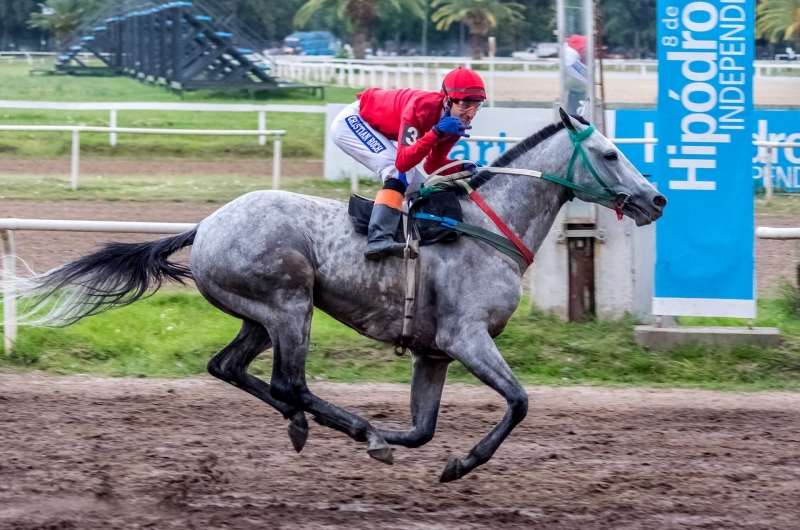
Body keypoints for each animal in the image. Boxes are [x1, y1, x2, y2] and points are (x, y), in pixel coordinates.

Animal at [9, 109, 664, 480]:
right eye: (611, 153)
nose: (656, 198)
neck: (489, 227)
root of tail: (206, 225)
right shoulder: (466, 337)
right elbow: (520, 401)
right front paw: (456, 463)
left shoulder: (434, 352)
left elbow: (422, 428)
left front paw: (402, 440)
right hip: (290, 305)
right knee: (288, 381)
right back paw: (349, 428)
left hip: (258, 315)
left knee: (229, 367)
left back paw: (311, 426)